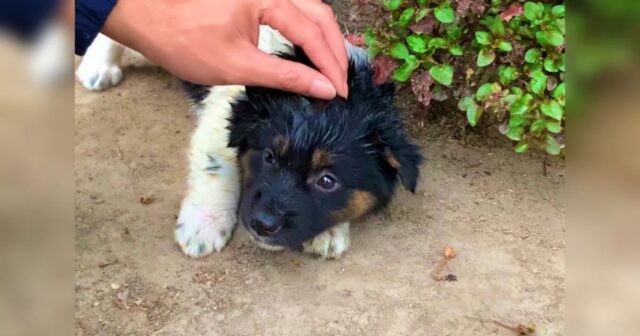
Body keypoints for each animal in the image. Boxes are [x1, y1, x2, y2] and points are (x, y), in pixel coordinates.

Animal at [76, 26, 420, 258]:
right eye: (268, 157)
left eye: (327, 180)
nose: (262, 224)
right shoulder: (222, 117)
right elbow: (215, 168)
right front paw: (203, 226)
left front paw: (331, 231)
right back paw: (97, 67)